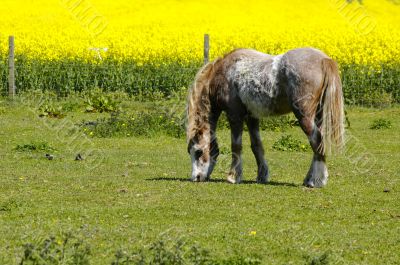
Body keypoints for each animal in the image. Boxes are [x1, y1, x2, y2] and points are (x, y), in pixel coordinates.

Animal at [187, 48, 344, 188]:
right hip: (318, 116)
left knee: (316, 140)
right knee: (318, 144)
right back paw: (310, 179)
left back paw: (316, 181)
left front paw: (233, 177)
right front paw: (262, 175)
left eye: (198, 151)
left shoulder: (234, 115)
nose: (196, 177)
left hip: (304, 116)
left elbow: (236, 146)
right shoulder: (251, 117)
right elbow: (257, 146)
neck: (223, 73)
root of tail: (324, 59)